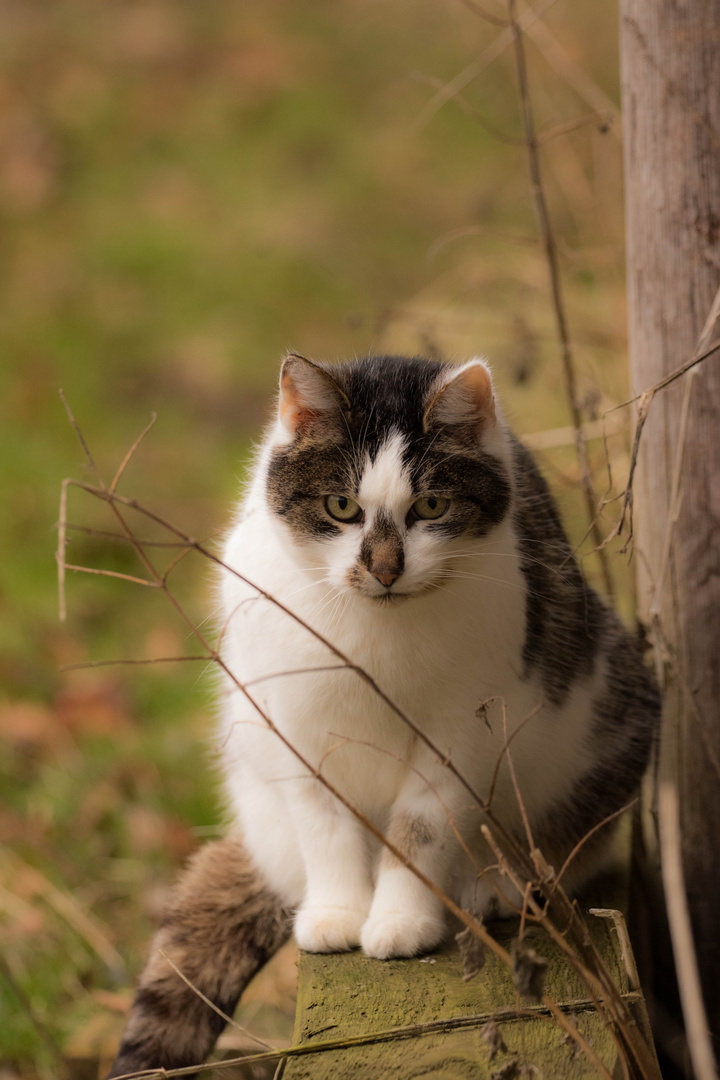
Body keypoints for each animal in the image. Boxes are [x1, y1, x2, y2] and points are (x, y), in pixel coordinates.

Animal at [105, 356, 660, 1080]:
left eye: (432, 507)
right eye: (341, 507)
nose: (385, 568)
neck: (373, 633)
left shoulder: (459, 735)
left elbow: (419, 830)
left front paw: (401, 922)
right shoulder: (298, 729)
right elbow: (325, 825)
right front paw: (338, 914)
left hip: (612, 712)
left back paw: (494, 886)